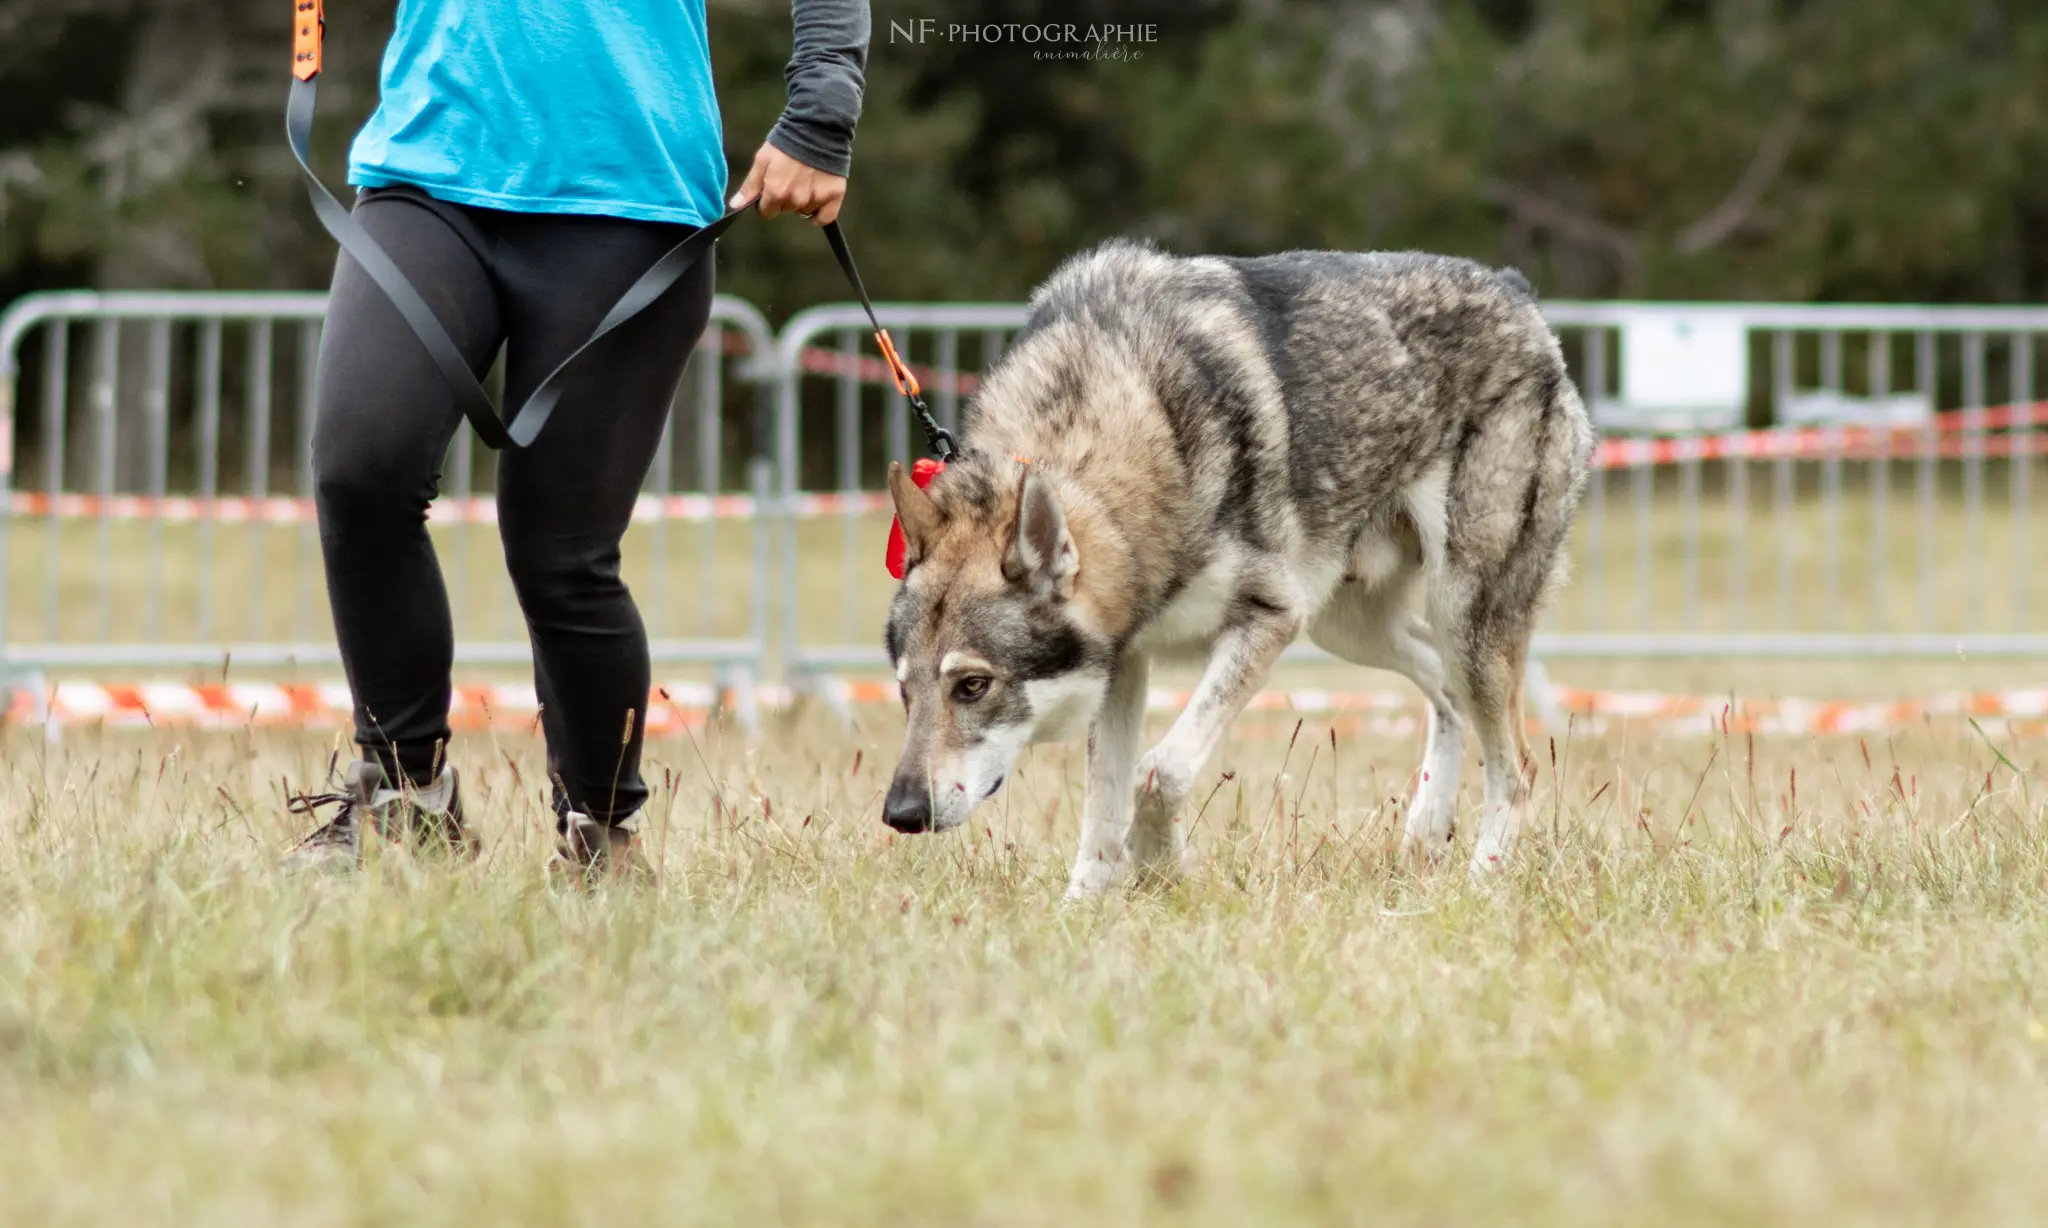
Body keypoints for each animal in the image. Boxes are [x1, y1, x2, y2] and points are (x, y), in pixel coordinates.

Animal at [872, 239, 1589, 896]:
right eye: (904, 691)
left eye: (972, 686)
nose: (900, 814)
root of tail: (1517, 291)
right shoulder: (1125, 661)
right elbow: (1103, 802)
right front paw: (1084, 908)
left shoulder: (1266, 621)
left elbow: (1159, 773)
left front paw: (1160, 864)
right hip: (1350, 627)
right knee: (1445, 693)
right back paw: (1427, 829)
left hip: (1456, 618)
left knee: (1519, 767)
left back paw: (1482, 884)